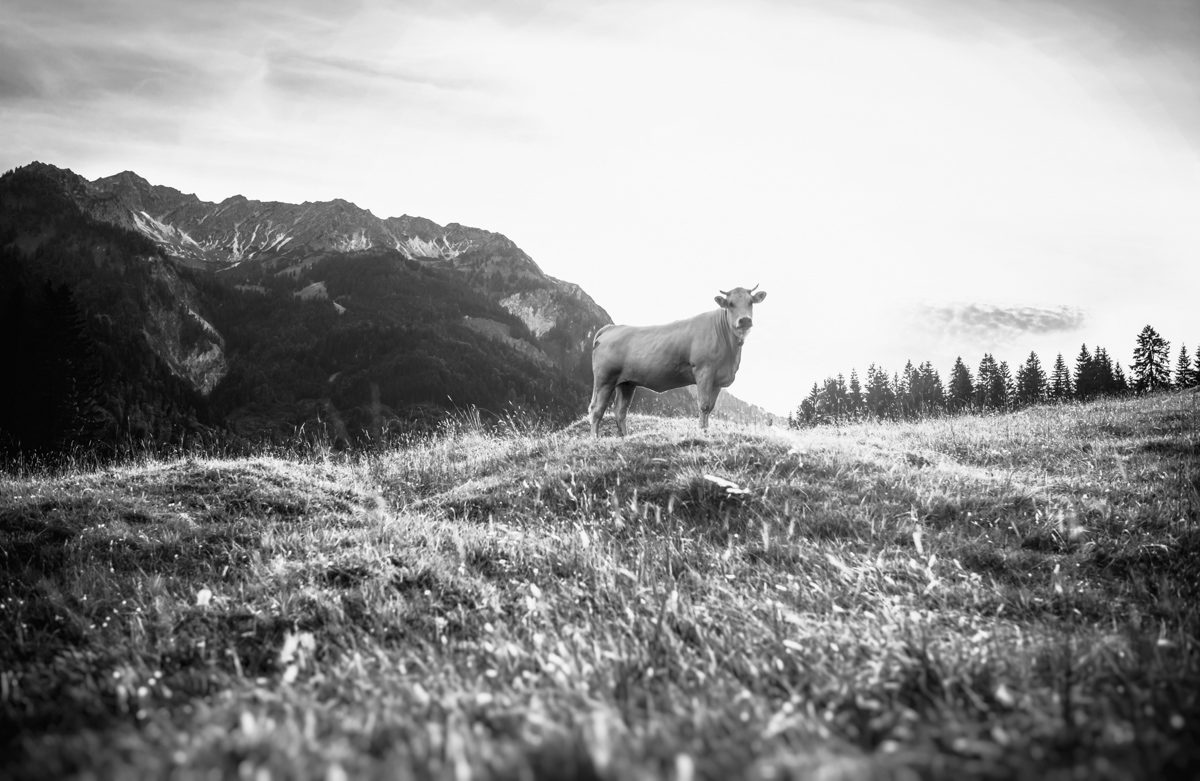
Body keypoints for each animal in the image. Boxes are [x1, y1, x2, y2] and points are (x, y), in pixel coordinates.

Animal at [588, 285, 767, 437]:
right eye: (730, 304)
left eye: (751, 302)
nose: (745, 320)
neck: (730, 355)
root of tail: (611, 328)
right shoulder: (704, 371)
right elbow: (703, 405)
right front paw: (702, 433)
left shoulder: (718, 379)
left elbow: (710, 407)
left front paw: (706, 430)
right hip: (605, 379)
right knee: (597, 409)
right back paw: (595, 439)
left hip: (627, 383)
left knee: (620, 411)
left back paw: (625, 437)